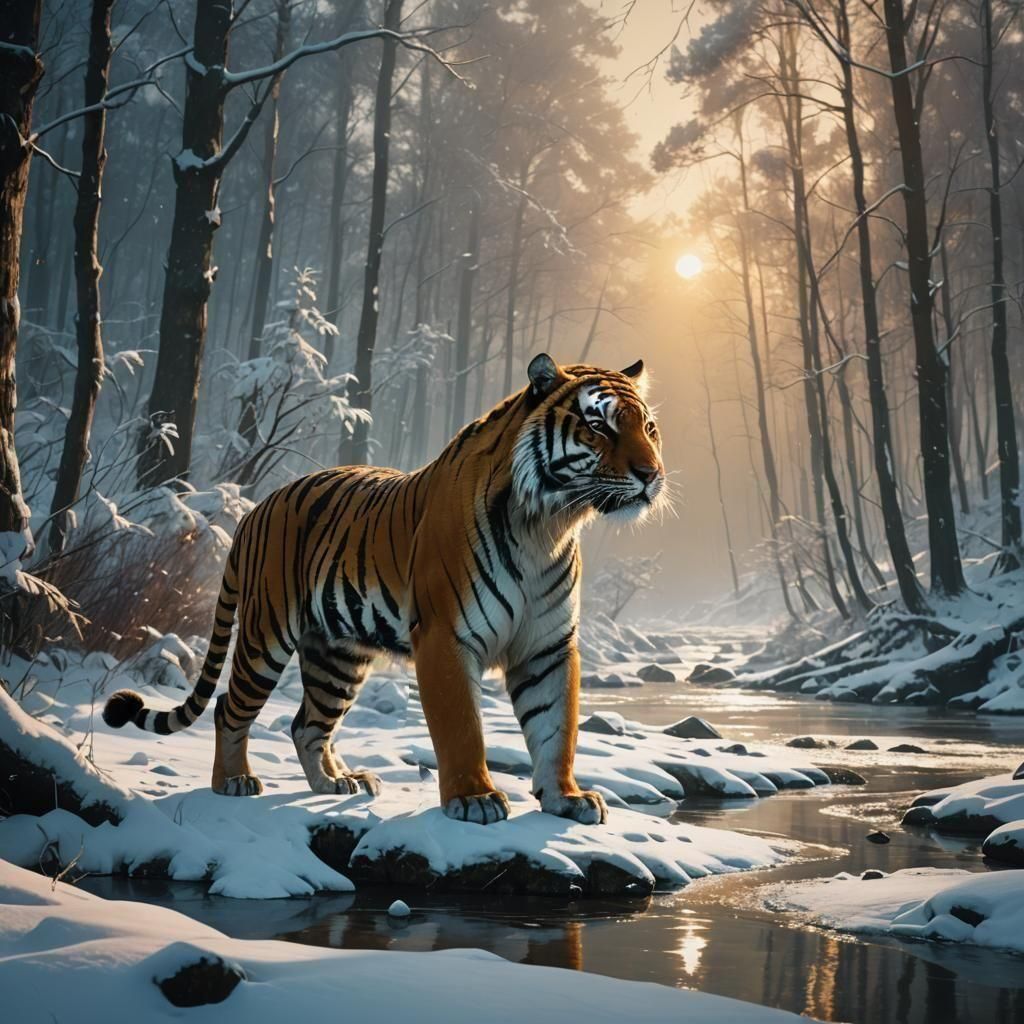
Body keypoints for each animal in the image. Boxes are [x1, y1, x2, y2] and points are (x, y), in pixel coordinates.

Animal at [103, 354, 666, 825]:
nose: (651, 474)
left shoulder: (548, 646)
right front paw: (475, 800)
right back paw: (234, 782)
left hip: (338, 657)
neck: (547, 522)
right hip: (266, 633)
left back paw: (336, 782)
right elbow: (462, 726)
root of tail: (256, 508)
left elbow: (556, 728)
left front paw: (567, 799)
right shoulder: (444, 636)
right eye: (599, 425)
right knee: (229, 707)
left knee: (307, 725)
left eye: (649, 428)